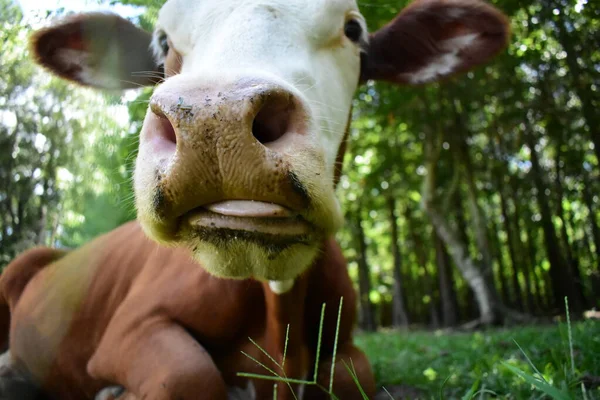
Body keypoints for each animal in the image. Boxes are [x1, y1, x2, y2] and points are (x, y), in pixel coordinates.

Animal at [0, 0, 508, 398]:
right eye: (162, 40)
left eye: (353, 29)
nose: (215, 119)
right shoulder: (131, 325)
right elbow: (187, 375)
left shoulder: (344, 343)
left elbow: (348, 377)